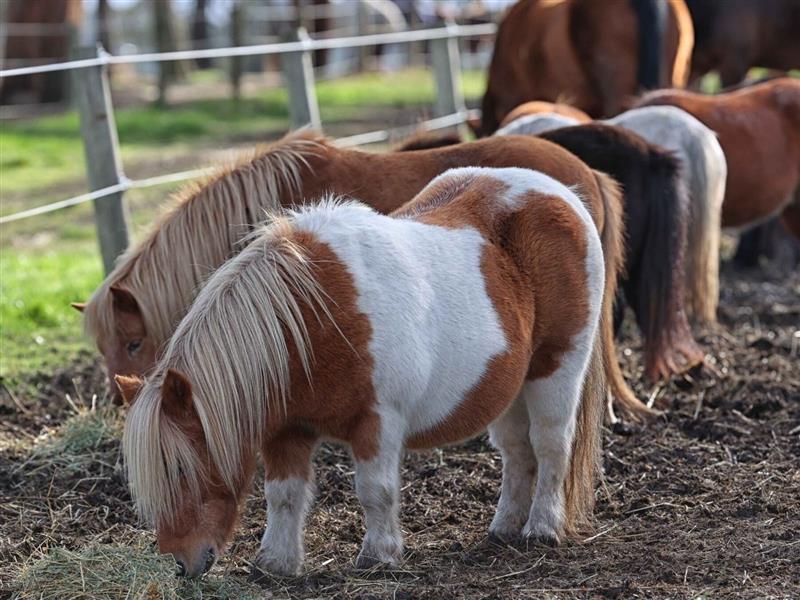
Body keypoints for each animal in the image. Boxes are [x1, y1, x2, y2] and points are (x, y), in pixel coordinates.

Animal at [118, 166, 607, 578]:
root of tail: (563, 193)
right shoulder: (286, 431)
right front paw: (276, 563)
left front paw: (378, 556)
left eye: (181, 470)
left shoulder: (378, 421)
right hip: (509, 387)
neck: (310, 319)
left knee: (550, 446)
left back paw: (541, 528)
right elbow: (283, 494)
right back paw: (504, 527)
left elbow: (375, 490)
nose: (180, 564)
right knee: (515, 452)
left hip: (556, 368)